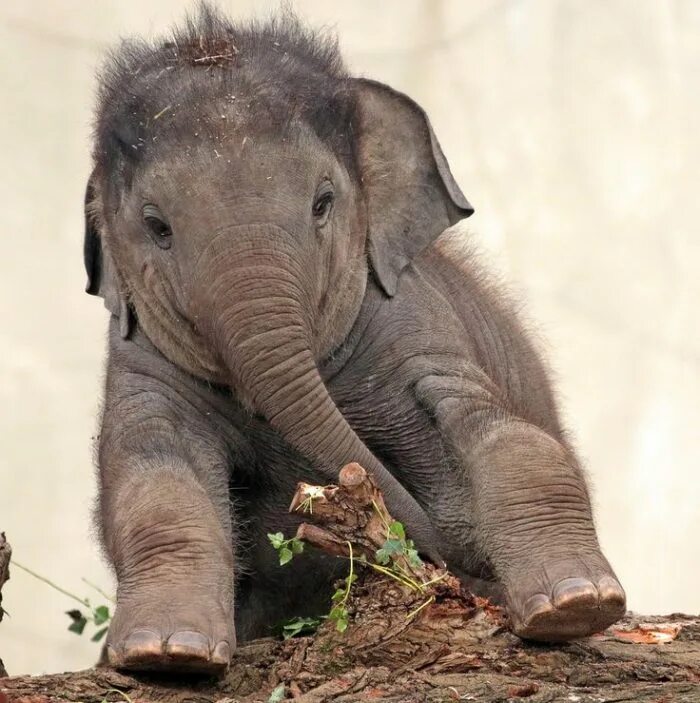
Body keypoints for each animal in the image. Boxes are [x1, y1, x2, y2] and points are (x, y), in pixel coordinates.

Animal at [85, 5, 628, 676]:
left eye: (323, 202)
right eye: (156, 226)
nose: (453, 570)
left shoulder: (416, 325)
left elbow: (507, 435)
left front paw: (576, 605)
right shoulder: (140, 361)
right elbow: (151, 476)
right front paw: (166, 654)